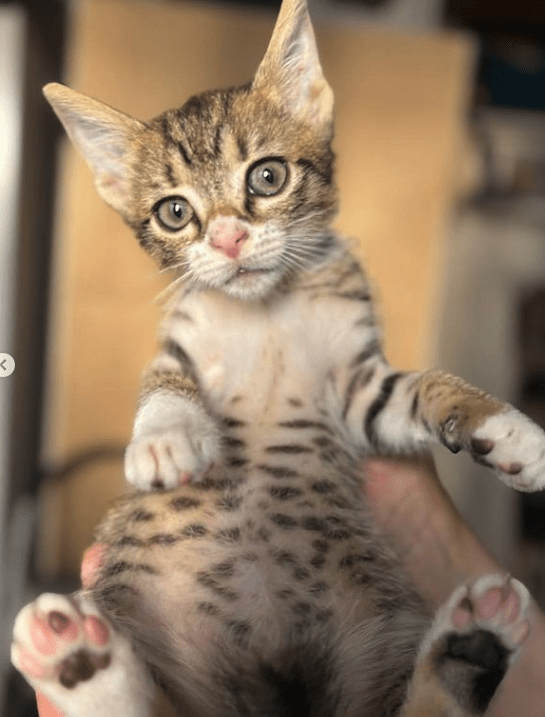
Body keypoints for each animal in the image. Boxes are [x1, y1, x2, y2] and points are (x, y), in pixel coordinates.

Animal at [11, 1, 544, 716]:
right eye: (175, 213)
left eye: (267, 176)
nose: (228, 238)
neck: (268, 309)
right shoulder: (179, 344)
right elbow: (165, 384)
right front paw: (166, 438)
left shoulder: (358, 388)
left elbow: (426, 386)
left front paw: (506, 429)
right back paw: (76, 659)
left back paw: (470, 650)